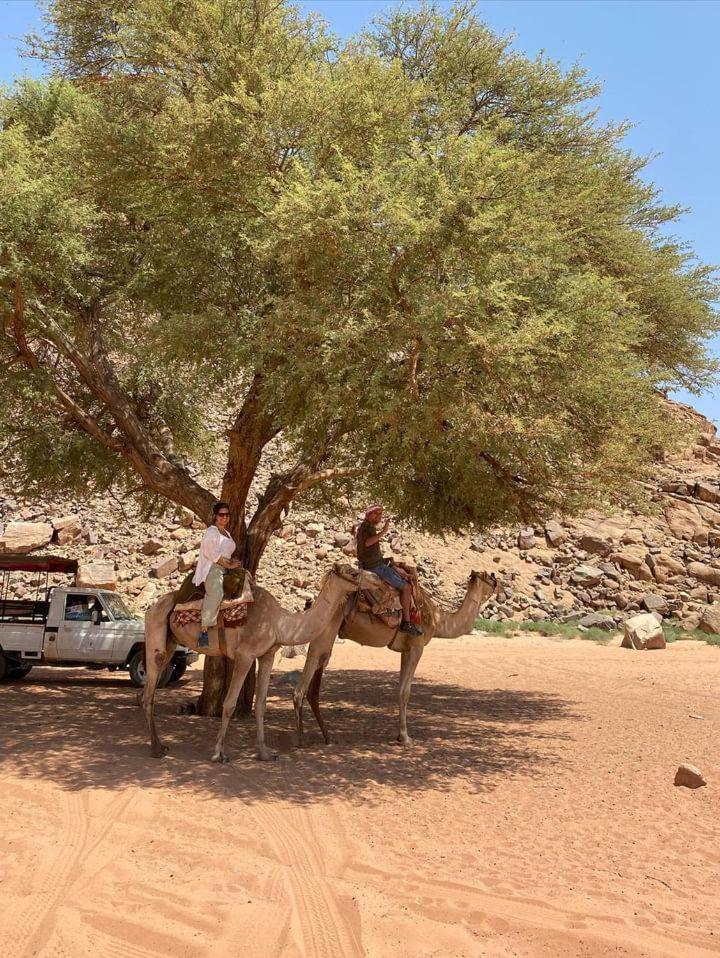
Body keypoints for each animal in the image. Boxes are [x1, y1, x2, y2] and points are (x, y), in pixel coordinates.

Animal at [142, 568, 376, 764]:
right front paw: (219, 754)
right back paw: (156, 749)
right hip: (156, 632)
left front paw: (265, 753)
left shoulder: (267, 655)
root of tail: (151, 608)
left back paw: (159, 746)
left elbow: (261, 704)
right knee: (149, 692)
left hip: (170, 643)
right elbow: (229, 704)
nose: (374, 579)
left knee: (149, 690)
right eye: (353, 573)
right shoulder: (245, 656)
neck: (278, 623)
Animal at [290, 568, 498, 752]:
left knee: (317, 674)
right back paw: (300, 740)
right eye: (491, 577)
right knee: (311, 665)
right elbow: (405, 692)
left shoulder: (405, 649)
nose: (500, 584)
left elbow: (399, 690)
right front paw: (406, 738)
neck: (438, 620)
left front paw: (399, 735)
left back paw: (327, 736)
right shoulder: (416, 646)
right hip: (326, 629)